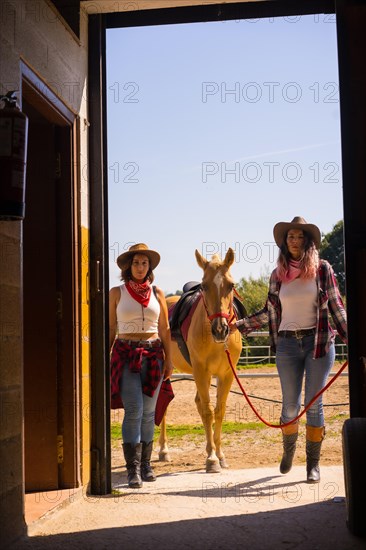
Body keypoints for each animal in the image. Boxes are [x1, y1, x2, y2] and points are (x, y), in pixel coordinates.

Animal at [158, 248, 242, 472]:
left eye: (231, 285)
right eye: (204, 286)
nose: (220, 329)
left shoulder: (226, 374)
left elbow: (219, 411)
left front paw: (219, 454)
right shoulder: (201, 371)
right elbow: (207, 411)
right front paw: (212, 459)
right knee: (163, 406)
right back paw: (163, 450)